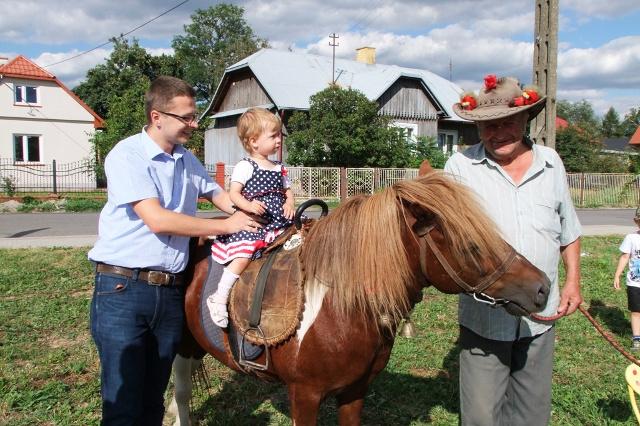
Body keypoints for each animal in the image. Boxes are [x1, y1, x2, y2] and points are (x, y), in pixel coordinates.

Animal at [168, 171, 550, 425]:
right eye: (470, 246)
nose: (542, 288)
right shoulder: (304, 396)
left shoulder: (354, 392)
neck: (342, 307)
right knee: (181, 393)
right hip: (181, 346)